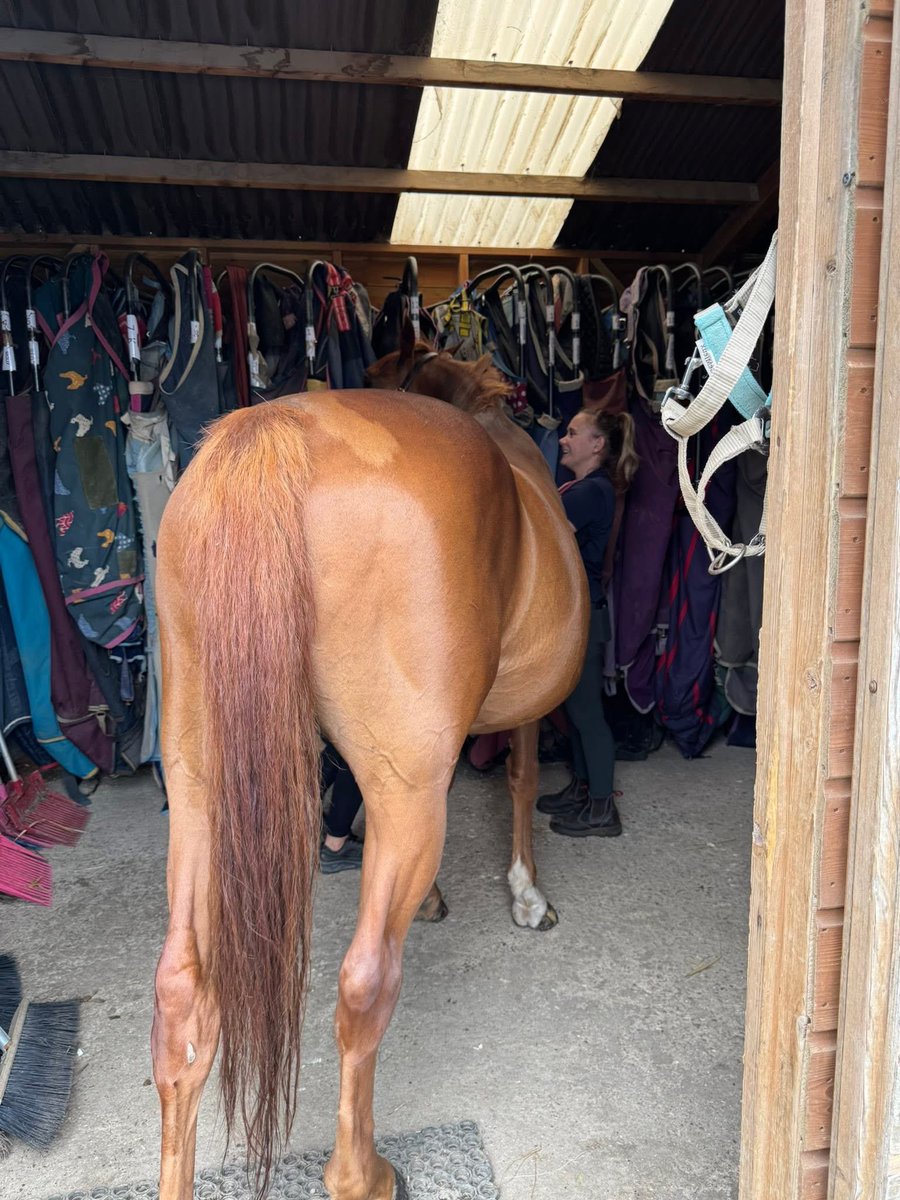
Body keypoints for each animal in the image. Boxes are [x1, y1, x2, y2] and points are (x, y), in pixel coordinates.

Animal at [152, 326, 590, 1200]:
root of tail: (274, 434)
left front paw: (439, 898)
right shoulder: (501, 725)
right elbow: (522, 778)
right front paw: (526, 894)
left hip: (200, 786)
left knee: (182, 997)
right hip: (405, 795)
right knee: (363, 984)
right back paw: (365, 1174)